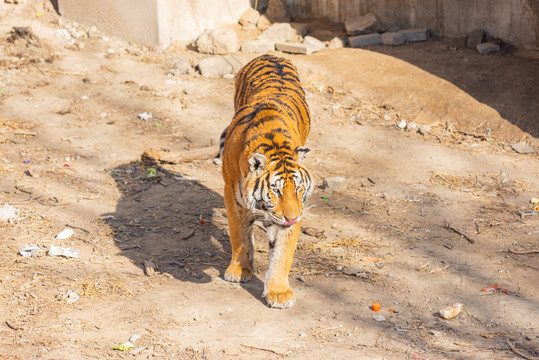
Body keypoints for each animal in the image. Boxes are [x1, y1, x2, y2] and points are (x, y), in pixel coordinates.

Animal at [218, 54, 312, 308]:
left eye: (298, 188)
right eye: (275, 190)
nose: (292, 217)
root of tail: (271, 54)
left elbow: (283, 252)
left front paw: (278, 292)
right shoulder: (232, 197)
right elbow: (239, 235)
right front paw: (239, 270)